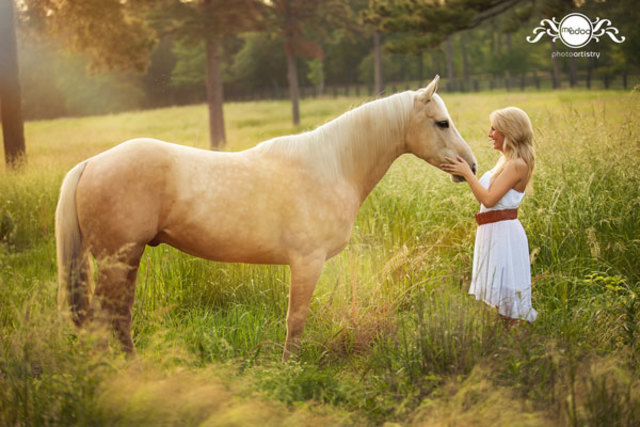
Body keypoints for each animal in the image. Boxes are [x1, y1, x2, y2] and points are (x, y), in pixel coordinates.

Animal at [55, 75, 477, 361]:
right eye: (441, 122)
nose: (469, 166)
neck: (333, 165)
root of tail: (91, 163)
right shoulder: (307, 263)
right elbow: (296, 320)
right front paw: (290, 368)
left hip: (125, 260)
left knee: (114, 318)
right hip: (118, 260)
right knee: (105, 319)